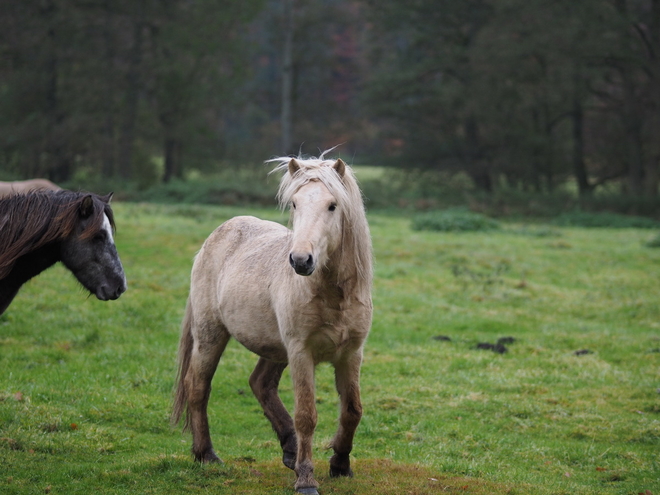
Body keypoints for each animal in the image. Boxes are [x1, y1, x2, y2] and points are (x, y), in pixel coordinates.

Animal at [173, 154, 374, 492]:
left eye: (333, 206)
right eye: (294, 203)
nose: (301, 260)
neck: (333, 295)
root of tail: (219, 233)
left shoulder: (351, 354)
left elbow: (352, 410)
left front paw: (340, 465)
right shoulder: (301, 352)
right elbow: (306, 415)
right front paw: (306, 479)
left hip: (275, 349)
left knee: (260, 384)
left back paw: (290, 449)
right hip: (211, 335)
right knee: (197, 386)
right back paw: (206, 455)